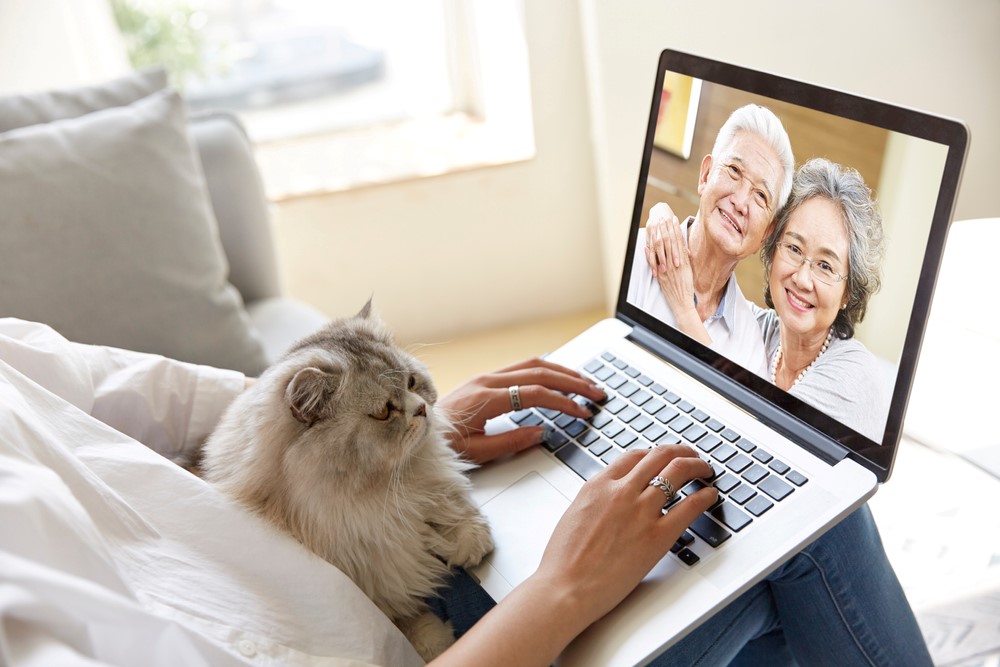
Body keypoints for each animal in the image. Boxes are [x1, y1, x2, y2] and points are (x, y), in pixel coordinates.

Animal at [198, 304, 492, 664]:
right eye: (384, 412)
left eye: (412, 381)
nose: (422, 408)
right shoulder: (379, 586)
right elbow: (407, 620)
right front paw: (439, 643)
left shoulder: (426, 492)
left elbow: (454, 509)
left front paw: (466, 542)